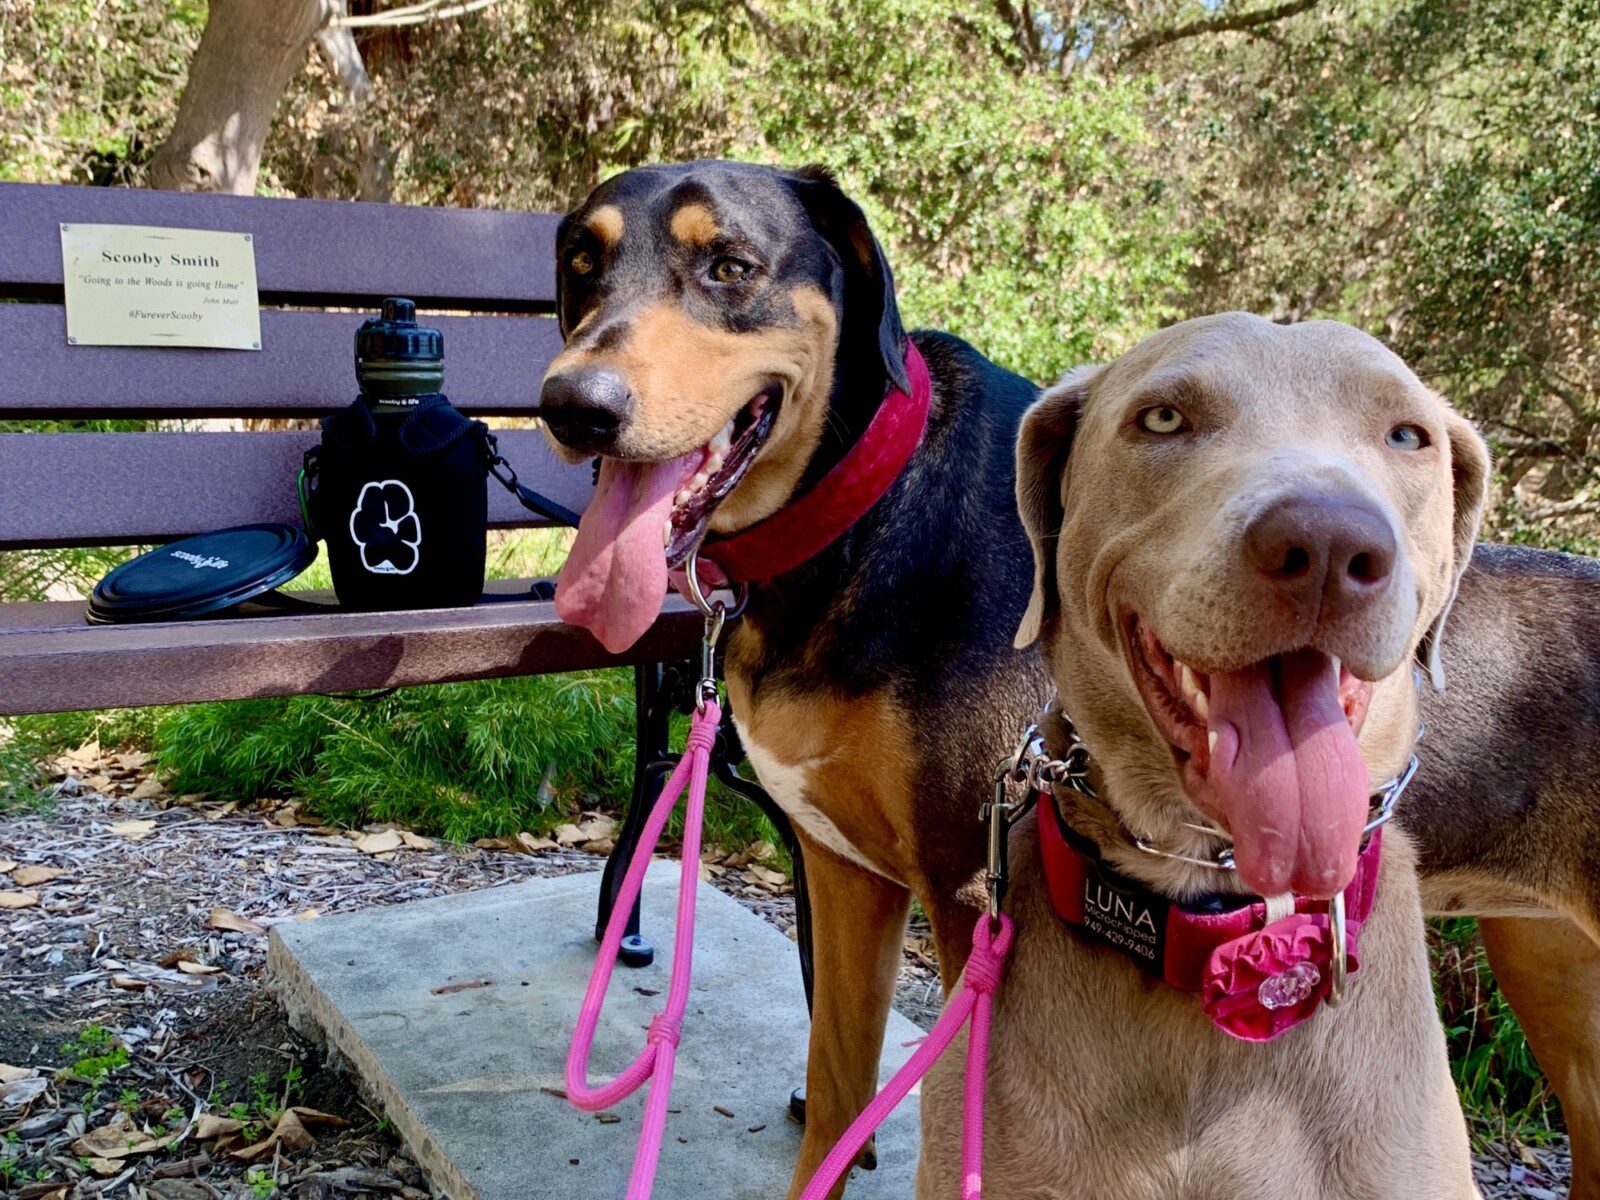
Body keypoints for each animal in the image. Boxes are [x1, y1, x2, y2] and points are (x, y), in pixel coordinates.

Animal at [537, 162, 1600, 1200]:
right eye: (581, 264)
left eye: (728, 266)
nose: (573, 407)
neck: (857, 510)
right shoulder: (843, 871)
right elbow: (836, 1095)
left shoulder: (969, 898)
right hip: (1554, 967)